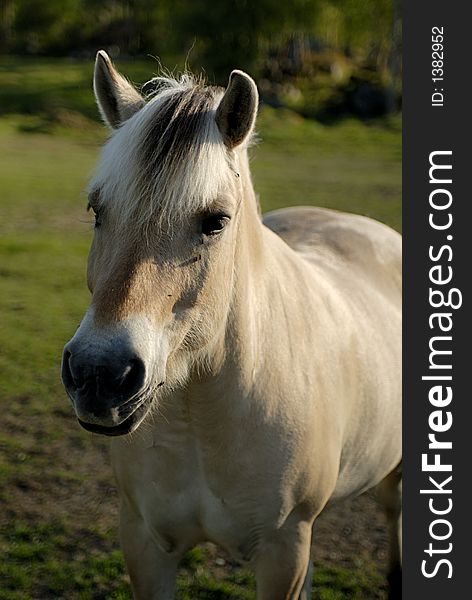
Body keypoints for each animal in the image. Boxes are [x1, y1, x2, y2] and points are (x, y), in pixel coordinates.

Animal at [60, 52, 400, 600]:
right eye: (96, 209)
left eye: (215, 221)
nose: (99, 374)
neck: (198, 418)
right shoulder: (145, 542)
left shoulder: (282, 552)